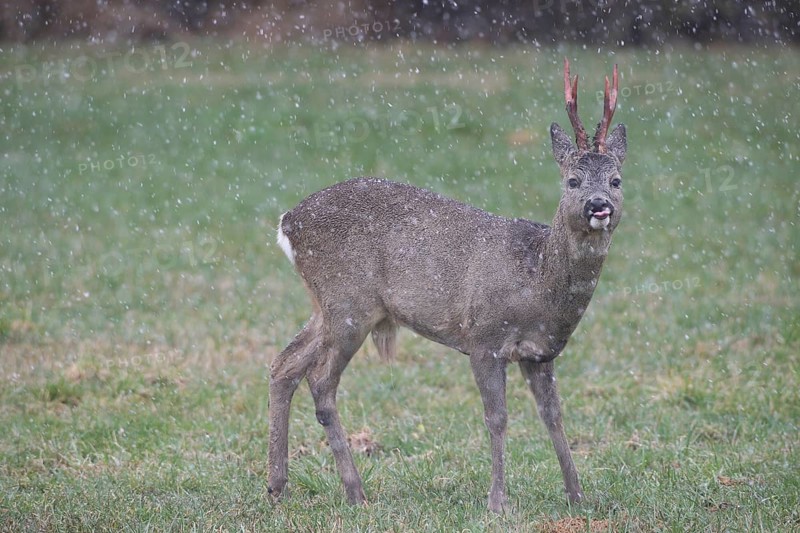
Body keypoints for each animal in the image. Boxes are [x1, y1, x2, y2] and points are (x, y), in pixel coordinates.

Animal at [267, 58, 626, 512]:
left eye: (616, 179)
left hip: (329, 306)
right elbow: (497, 418)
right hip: (348, 304)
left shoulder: (541, 352)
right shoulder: (484, 337)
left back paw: (277, 485)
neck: (536, 282)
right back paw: (354, 491)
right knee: (320, 381)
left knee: (285, 364)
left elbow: (554, 416)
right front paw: (498, 501)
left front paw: (578, 495)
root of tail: (287, 222)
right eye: (572, 180)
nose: (600, 207)